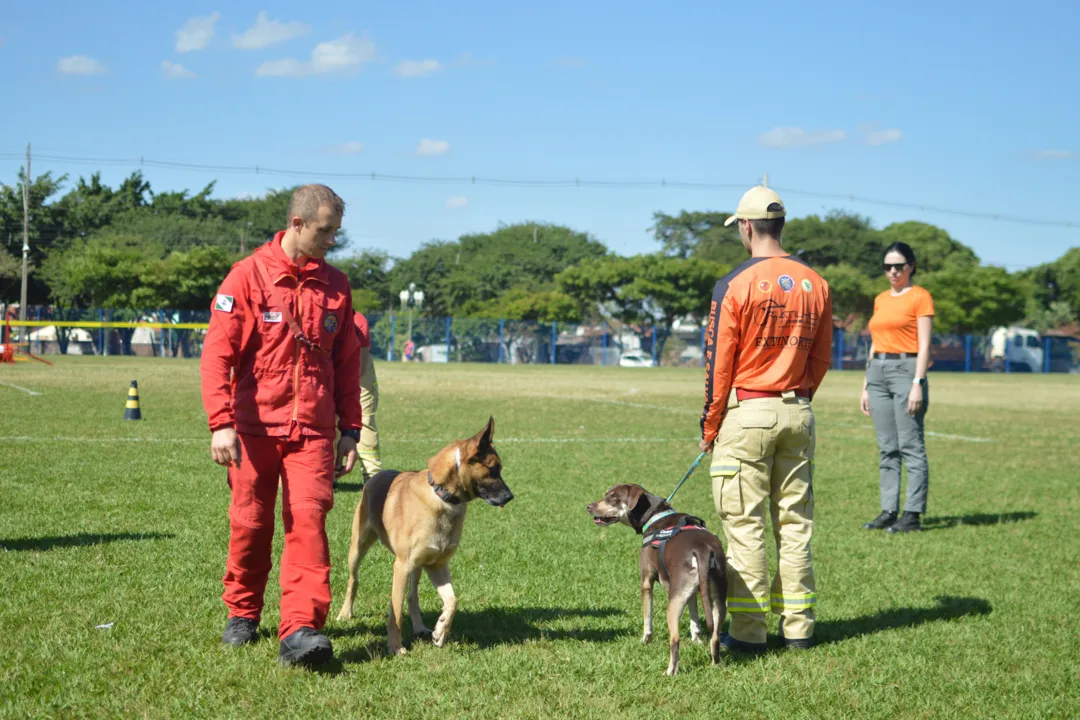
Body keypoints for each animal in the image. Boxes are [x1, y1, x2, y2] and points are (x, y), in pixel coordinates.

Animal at [334, 414, 511, 656]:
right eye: (493, 469)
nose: (510, 497)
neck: (442, 495)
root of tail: (375, 477)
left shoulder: (436, 565)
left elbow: (452, 600)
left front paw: (441, 631)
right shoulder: (401, 567)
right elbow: (396, 613)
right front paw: (395, 647)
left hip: (418, 566)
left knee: (413, 597)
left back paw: (420, 627)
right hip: (358, 548)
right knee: (354, 580)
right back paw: (345, 612)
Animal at [587, 483, 730, 677]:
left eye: (614, 497)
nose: (589, 507)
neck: (656, 516)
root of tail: (702, 550)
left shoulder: (646, 582)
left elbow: (647, 617)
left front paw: (645, 640)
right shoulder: (692, 592)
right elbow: (695, 618)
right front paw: (697, 640)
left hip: (673, 605)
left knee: (675, 640)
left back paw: (670, 671)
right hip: (718, 600)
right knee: (714, 637)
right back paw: (715, 664)